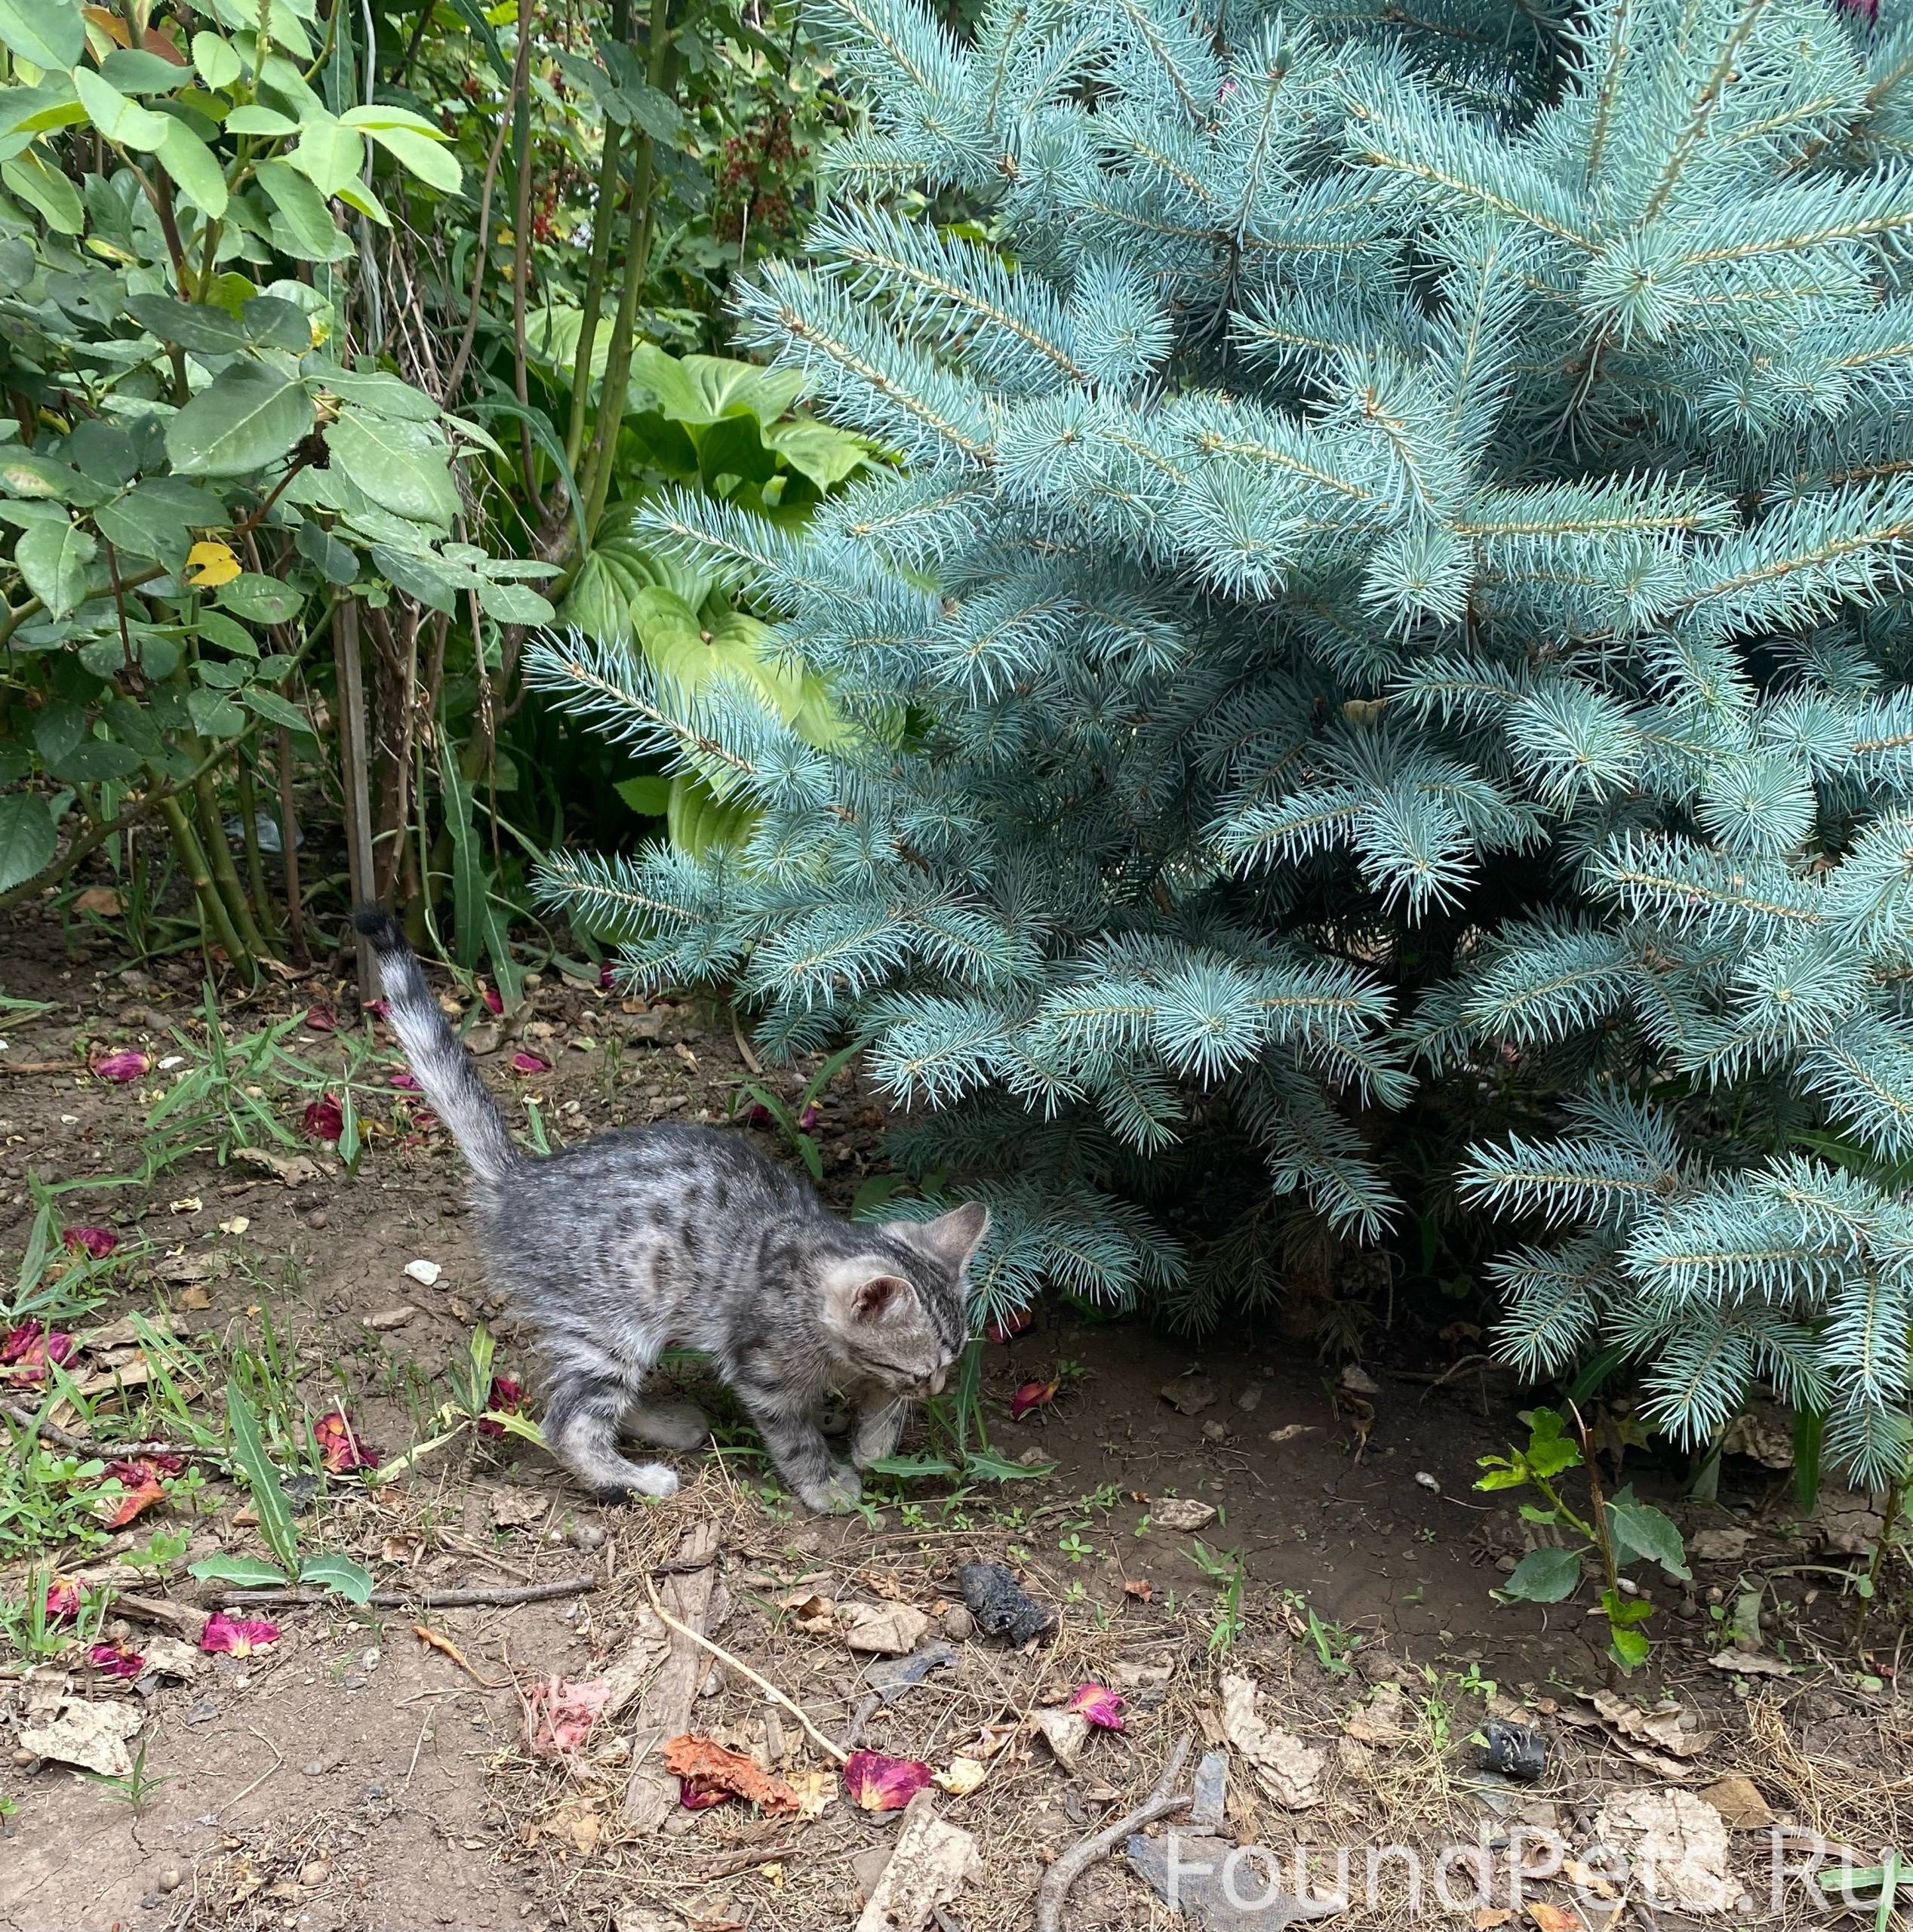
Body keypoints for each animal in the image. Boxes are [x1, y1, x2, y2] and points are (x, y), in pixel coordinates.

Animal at [355, 904, 989, 1506]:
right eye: (922, 1371)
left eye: (948, 1365)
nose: (937, 1390)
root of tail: (522, 1177)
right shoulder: (762, 1372)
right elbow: (794, 1436)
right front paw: (825, 1482)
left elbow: (877, 1402)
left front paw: (873, 1439)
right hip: (610, 1324)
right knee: (568, 1422)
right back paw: (635, 1479)